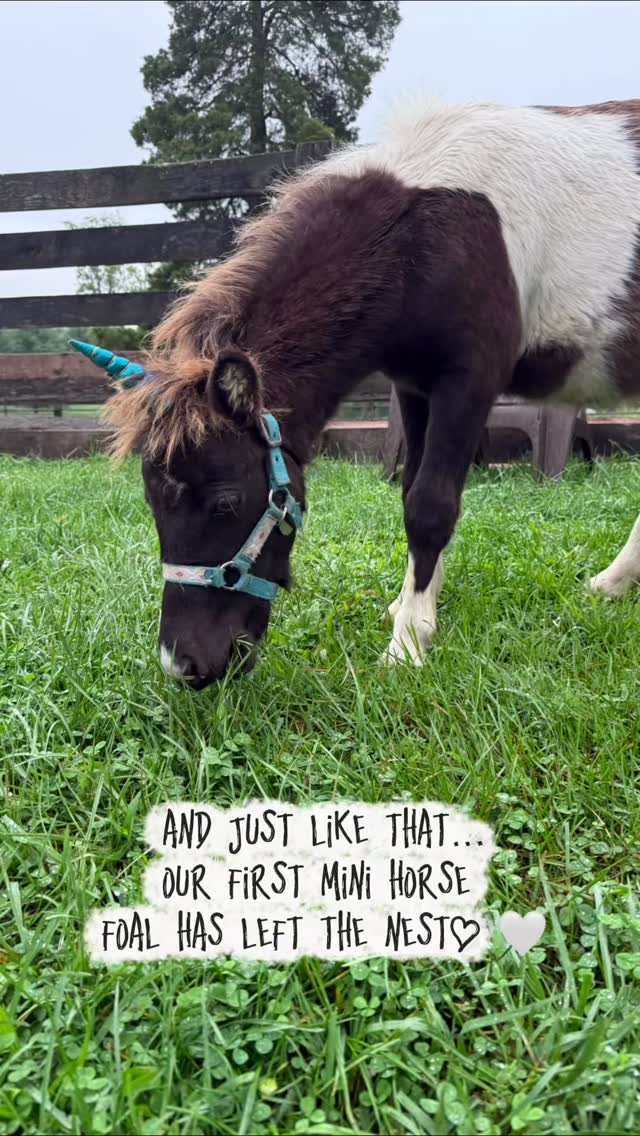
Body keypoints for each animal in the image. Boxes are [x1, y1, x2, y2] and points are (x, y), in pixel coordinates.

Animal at [78, 97, 640, 688]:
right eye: (152, 502)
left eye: (226, 500)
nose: (185, 665)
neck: (425, 238)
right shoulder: (415, 387)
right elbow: (412, 491)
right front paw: (415, 607)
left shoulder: (467, 384)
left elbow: (431, 506)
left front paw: (408, 644)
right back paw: (611, 583)